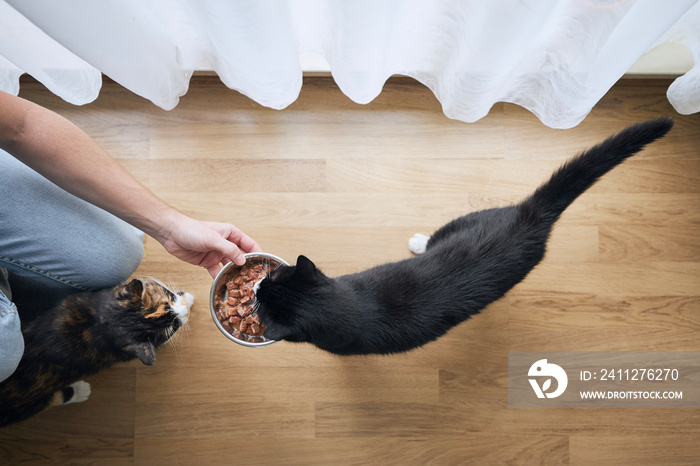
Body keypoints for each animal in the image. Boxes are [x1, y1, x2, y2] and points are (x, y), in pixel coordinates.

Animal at [0, 276, 191, 426]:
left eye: (170, 298)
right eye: (173, 325)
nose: (185, 310)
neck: (101, 325)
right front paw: (189, 299)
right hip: (26, 404)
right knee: (54, 399)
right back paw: (81, 390)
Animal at [256, 118, 672, 354]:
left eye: (262, 297)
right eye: (272, 275)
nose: (258, 283)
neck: (351, 304)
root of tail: (531, 215)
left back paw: (418, 241)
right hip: (472, 219)